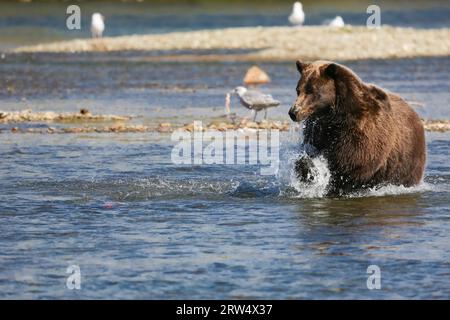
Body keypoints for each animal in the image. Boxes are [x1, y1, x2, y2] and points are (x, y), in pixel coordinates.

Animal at [288, 60, 426, 195]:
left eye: (311, 91)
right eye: (298, 90)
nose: (293, 112)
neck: (334, 116)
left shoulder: (362, 129)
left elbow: (354, 161)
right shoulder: (318, 130)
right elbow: (311, 151)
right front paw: (306, 166)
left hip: (407, 159)